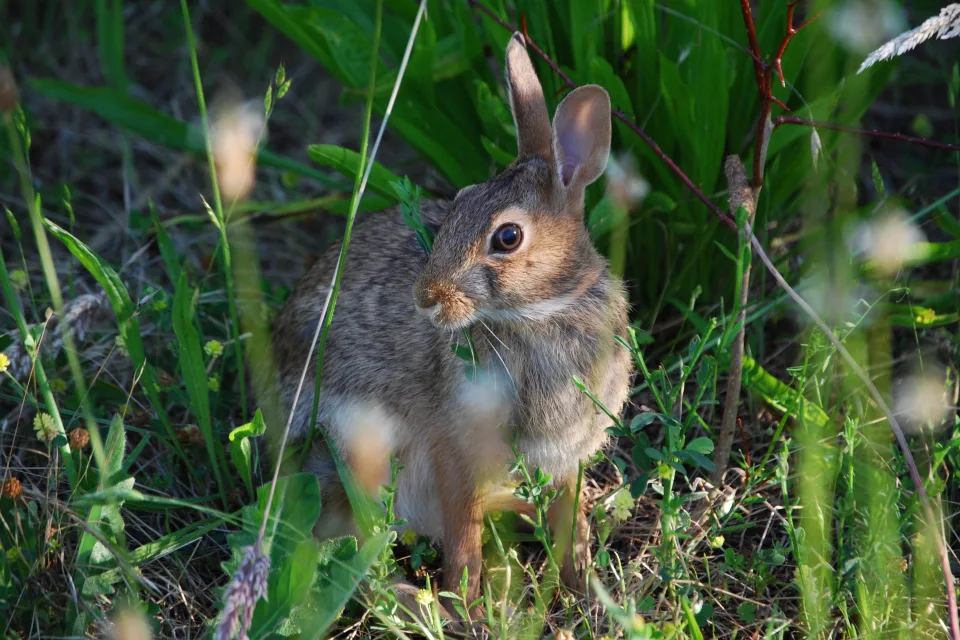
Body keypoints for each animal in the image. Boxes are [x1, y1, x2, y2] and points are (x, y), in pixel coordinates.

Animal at [268, 32, 633, 608]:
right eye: (458, 203)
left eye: (507, 237)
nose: (426, 298)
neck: (542, 311)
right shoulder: (454, 446)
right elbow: (463, 529)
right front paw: (466, 599)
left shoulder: (567, 454)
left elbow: (565, 511)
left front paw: (583, 581)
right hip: (358, 448)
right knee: (350, 546)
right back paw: (413, 600)